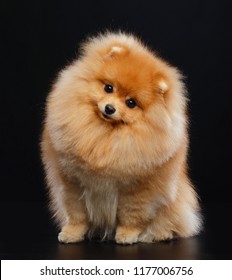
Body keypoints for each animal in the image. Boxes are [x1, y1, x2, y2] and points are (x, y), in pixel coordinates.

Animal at [40, 31, 202, 244]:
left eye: (131, 103)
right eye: (108, 88)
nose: (110, 108)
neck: (103, 135)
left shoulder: (137, 190)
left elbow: (131, 214)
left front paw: (127, 235)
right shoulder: (72, 181)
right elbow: (76, 213)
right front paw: (71, 233)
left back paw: (162, 234)